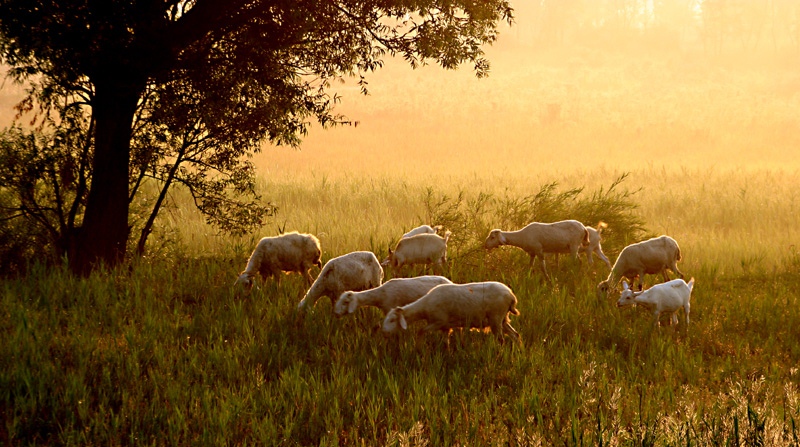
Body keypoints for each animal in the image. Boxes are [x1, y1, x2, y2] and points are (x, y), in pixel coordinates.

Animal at [382, 282, 520, 344]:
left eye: (392, 320)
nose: (384, 333)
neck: (425, 306)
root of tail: (511, 296)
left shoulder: (439, 321)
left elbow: (421, 331)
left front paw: (419, 348)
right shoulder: (445, 327)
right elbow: (445, 343)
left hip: (496, 317)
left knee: (501, 339)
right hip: (503, 318)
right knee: (515, 335)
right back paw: (518, 350)